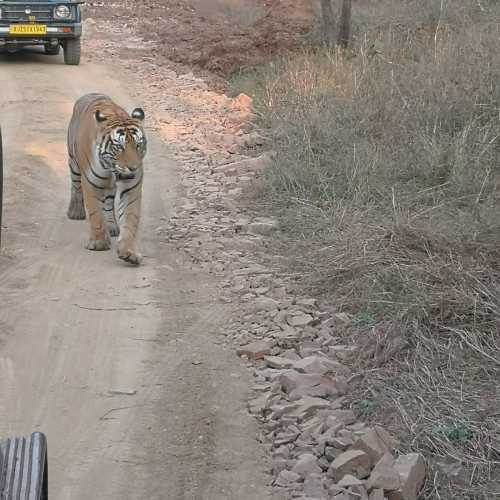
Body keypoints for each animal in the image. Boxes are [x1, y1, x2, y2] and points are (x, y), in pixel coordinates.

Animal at [65, 94, 146, 266]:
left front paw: (129, 251)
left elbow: (130, 218)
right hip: (73, 162)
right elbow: (95, 212)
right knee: (75, 186)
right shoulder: (90, 182)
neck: (111, 167)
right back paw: (75, 211)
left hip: (109, 186)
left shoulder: (131, 186)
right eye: (119, 147)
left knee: (108, 202)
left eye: (138, 145)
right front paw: (99, 243)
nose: (134, 168)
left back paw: (112, 227)